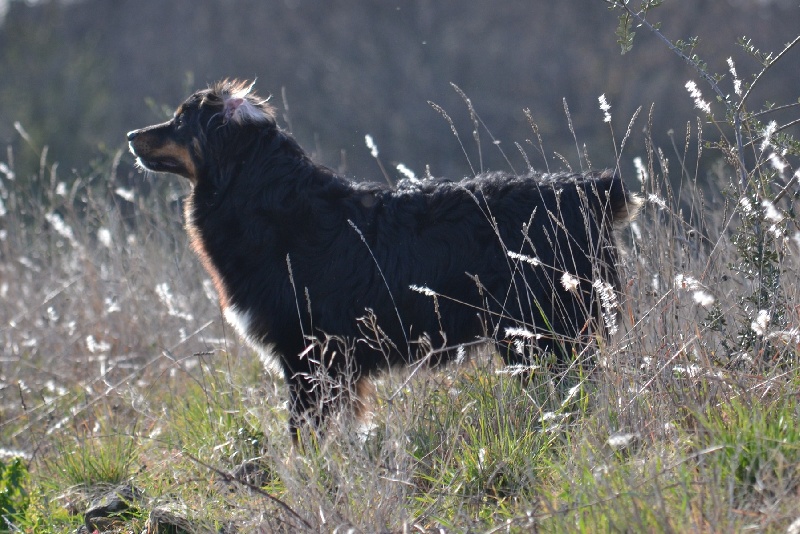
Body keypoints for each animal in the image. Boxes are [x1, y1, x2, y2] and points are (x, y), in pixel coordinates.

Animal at [128, 78, 640, 440]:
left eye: (180, 122)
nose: (132, 135)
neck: (264, 197)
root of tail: (587, 189)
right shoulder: (332, 363)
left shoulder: (308, 354)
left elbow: (303, 434)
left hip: (544, 336)